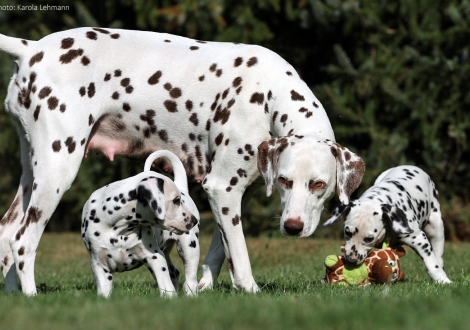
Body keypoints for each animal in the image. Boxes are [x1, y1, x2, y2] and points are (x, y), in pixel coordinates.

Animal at [81, 150, 199, 296]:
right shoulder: (99, 264)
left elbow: (166, 285)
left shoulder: (155, 257)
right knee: (174, 273)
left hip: (189, 247)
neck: (117, 228)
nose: (194, 220)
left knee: (190, 278)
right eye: (176, 200)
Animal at [324, 165, 452, 284]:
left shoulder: (419, 239)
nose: (351, 260)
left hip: (435, 227)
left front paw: (443, 280)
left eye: (369, 238)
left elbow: (432, 264)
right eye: (347, 232)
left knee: (438, 254)